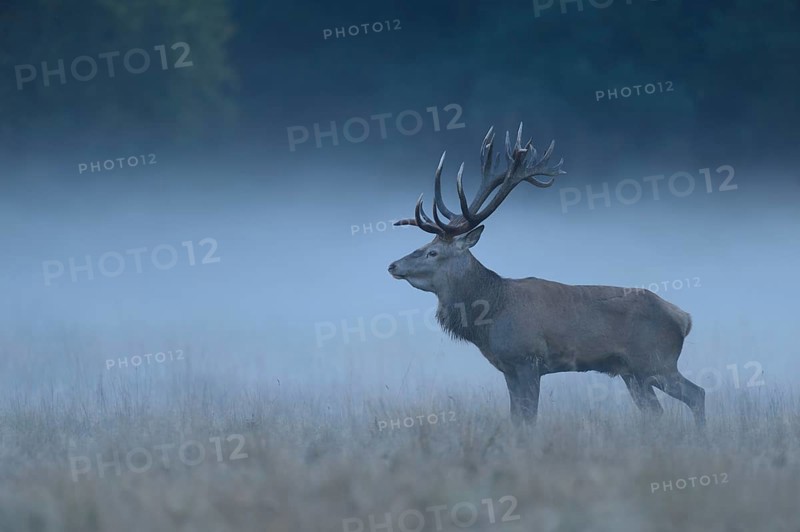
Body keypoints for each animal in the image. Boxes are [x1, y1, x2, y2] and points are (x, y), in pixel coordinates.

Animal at [387, 124, 705, 428]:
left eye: (432, 252)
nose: (392, 265)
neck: (490, 313)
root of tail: (684, 318)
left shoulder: (528, 359)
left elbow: (529, 416)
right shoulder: (508, 368)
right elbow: (516, 417)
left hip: (656, 362)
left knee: (697, 394)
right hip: (633, 373)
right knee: (656, 411)